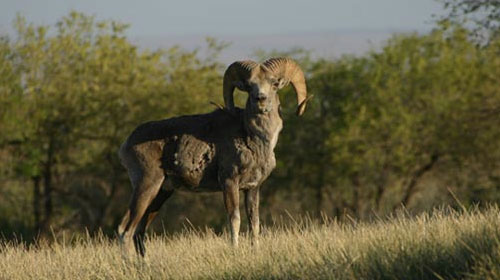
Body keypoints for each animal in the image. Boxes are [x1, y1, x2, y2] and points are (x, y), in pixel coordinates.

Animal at [118, 57, 310, 256]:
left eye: (274, 84)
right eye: (250, 86)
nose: (260, 99)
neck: (255, 138)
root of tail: (127, 144)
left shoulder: (252, 188)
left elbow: (254, 223)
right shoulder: (229, 182)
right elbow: (235, 220)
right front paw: (235, 251)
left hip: (161, 193)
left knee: (139, 232)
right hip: (146, 186)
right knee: (125, 230)